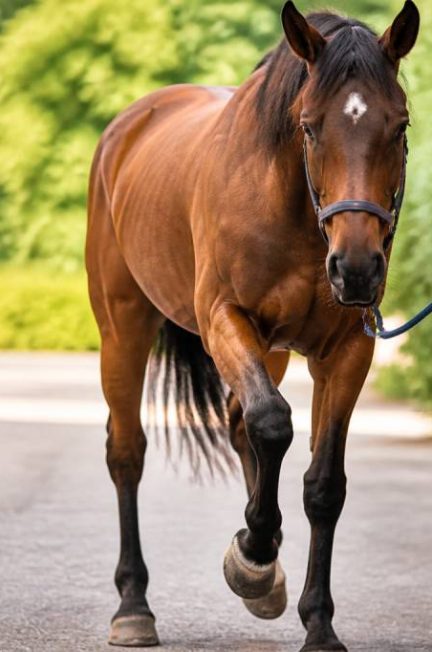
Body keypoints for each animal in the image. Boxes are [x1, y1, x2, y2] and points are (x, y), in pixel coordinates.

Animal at [86, 1, 420, 650]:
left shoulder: (346, 351)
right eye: (310, 127)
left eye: (400, 126)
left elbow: (323, 483)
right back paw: (134, 606)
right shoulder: (224, 320)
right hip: (124, 327)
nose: (357, 268)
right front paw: (254, 552)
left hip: (273, 351)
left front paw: (316, 621)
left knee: (242, 428)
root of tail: (127, 129)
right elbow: (272, 423)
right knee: (128, 451)